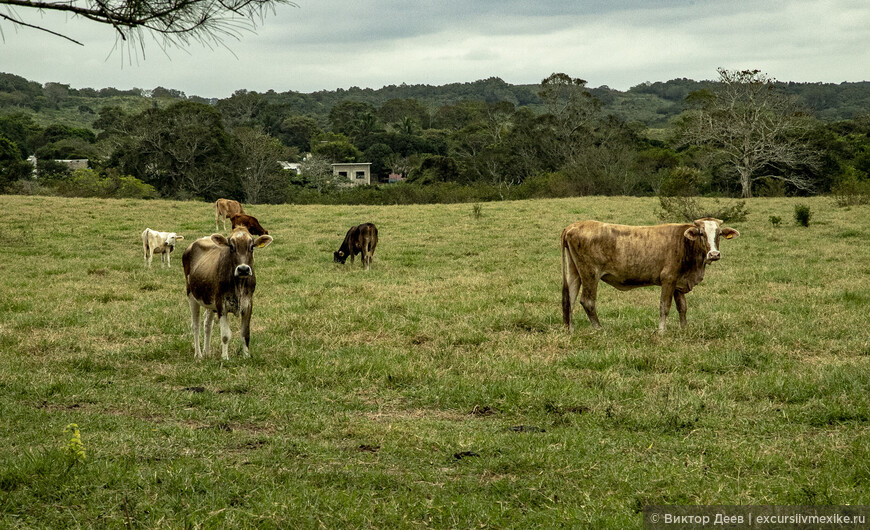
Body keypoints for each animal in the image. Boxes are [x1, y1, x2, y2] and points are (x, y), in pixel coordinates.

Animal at [186, 228, 274, 358]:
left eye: (252, 247)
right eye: (231, 247)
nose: (243, 269)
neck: (239, 286)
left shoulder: (248, 304)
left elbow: (245, 333)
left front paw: (246, 356)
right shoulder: (221, 305)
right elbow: (225, 335)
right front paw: (225, 357)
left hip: (209, 302)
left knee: (207, 324)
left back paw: (207, 352)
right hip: (191, 295)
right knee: (195, 325)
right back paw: (199, 354)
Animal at [564, 214, 740, 330]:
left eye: (719, 234)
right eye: (701, 233)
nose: (714, 254)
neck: (685, 244)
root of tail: (572, 226)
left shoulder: (679, 282)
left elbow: (682, 307)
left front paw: (684, 329)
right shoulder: (668, 279)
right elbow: (665, 306)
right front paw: (661, 331)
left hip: (574, 273)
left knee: (569, 299)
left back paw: (570, 330)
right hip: (590, 274)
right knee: (587, 301)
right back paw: (599, 329)